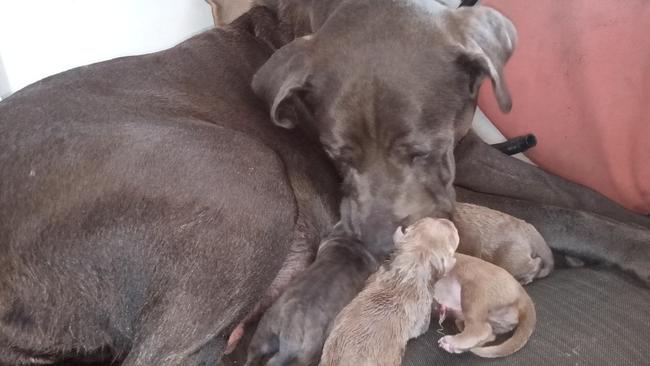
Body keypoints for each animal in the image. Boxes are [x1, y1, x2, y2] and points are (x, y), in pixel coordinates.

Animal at [318, 219, 458, 364]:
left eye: (427, 219)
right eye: (453, 238)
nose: (448, 221)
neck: (409, 270)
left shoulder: (376, 275)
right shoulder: (422, 314)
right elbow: (421, 328)